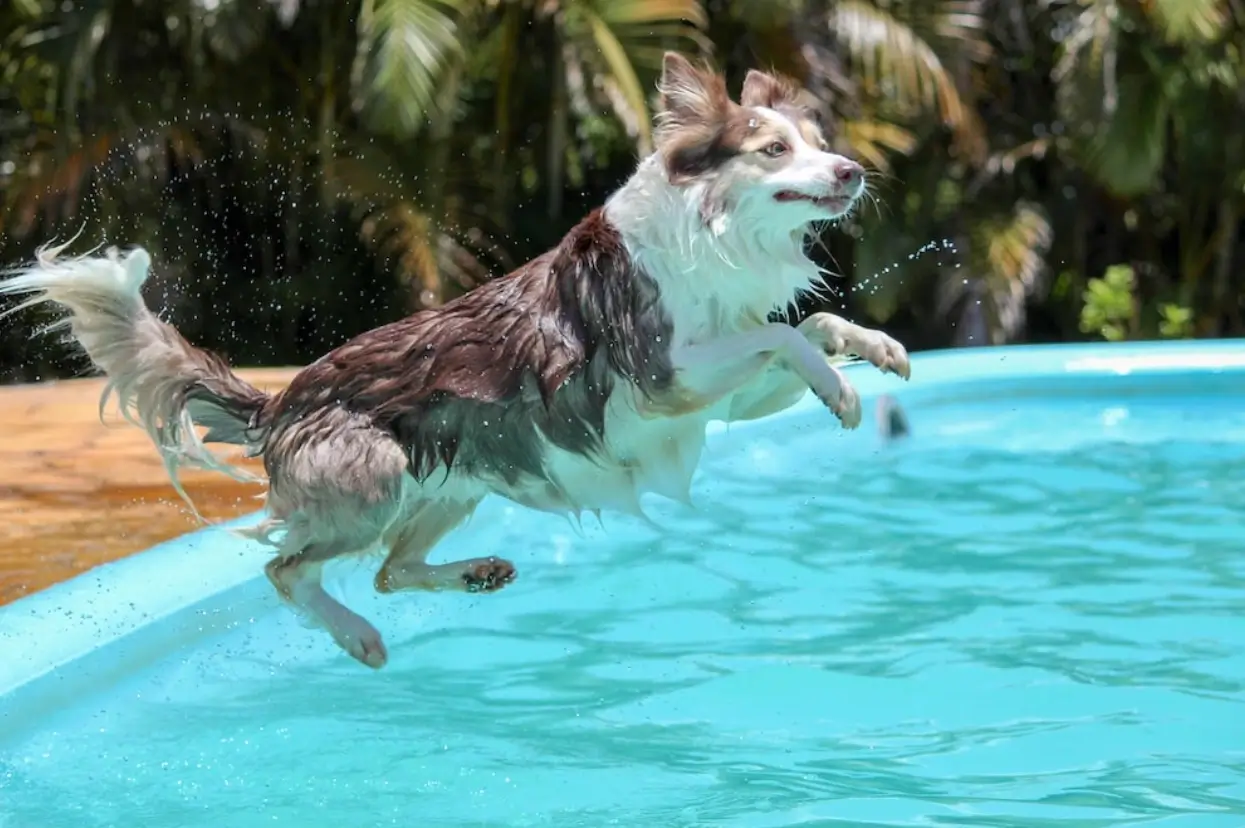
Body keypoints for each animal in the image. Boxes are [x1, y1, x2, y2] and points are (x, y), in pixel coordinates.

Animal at [4, 53, 911, 667]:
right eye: (771, 150)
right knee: (287, 567)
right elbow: (781, 334)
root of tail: (280, 402)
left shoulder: (717, 397)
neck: (713, 233)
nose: (852, 170)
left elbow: (811, 323)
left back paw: (474, 576)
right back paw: (359, 638)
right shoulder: (664, 377)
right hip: (370, 483)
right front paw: (844, 391)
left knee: (388, 571)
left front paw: (873, 352)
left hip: (456, 481)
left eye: (819, 141)